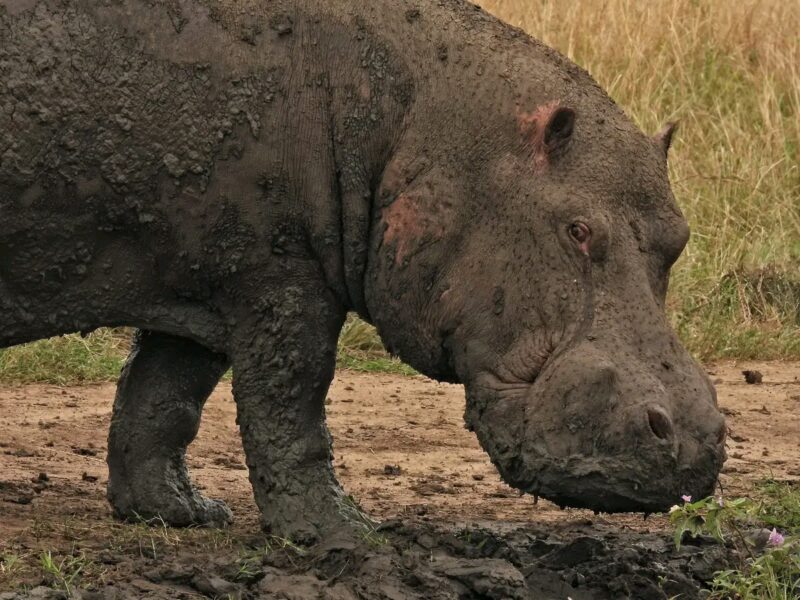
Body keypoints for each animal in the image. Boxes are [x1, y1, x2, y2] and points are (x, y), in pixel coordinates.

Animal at [0, 0, 724, 540]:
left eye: (680, 236)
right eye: (577, 229)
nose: (694, 443)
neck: (420, 120)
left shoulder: (207, 273)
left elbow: (163, 400)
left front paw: (182, 513)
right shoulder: (280, 278)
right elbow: (289, 406)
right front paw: (345, 533)